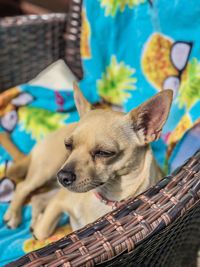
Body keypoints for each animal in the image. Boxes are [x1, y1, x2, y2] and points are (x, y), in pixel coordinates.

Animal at [3, 85, 173, 241]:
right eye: (68, 145)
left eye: (103, 153)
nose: (62, 176)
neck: (110, 197)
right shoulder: (58, 202)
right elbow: (42, 232)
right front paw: (39, 226)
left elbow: (41, 230)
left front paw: (38, 223)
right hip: (47, 170)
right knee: (23, 187)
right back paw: (13, 214)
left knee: (37, 197)